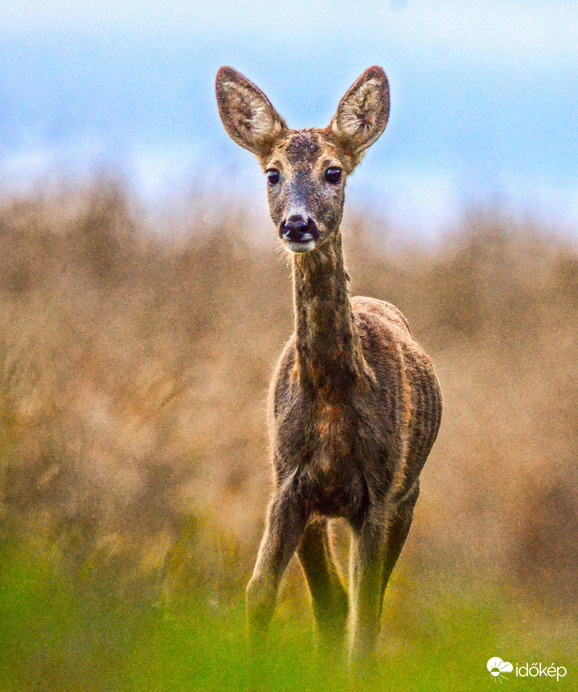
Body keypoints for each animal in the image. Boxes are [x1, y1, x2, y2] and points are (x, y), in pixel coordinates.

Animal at [215, 66, 440, 664]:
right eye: (272, 174)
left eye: (333, 171)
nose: (298, 225)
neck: (334, 400)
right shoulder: (289, 483)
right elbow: (259, 596)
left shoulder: (380, 493)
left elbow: (366, 621)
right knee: (332, 602)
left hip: (408, 495)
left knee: (361, 607)